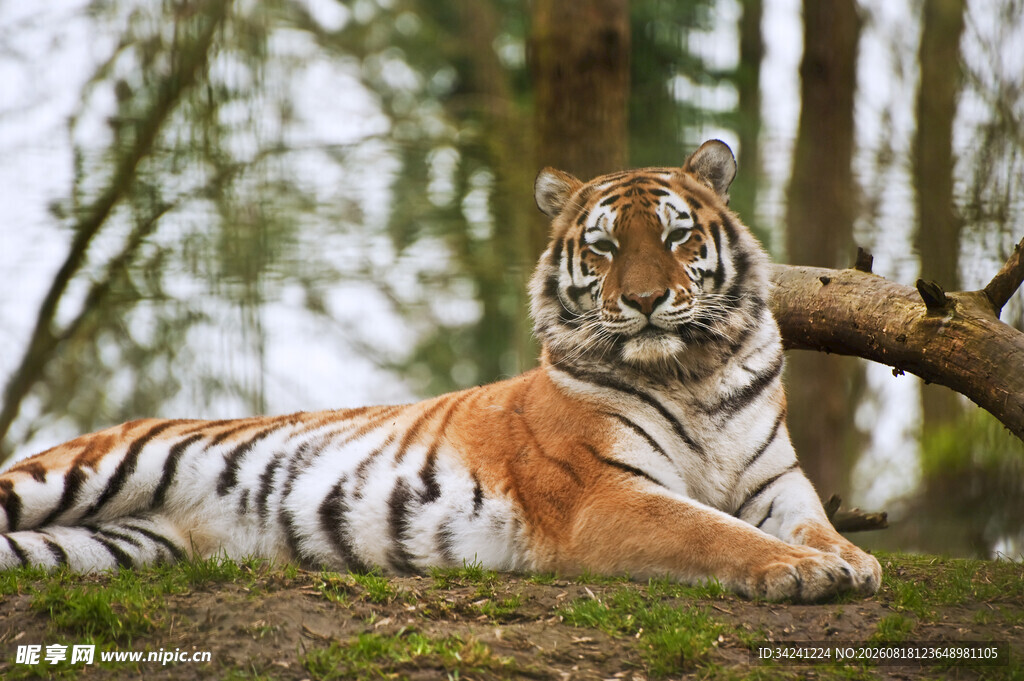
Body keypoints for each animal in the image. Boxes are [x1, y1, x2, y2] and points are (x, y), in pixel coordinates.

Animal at [0, 140, 880, 602]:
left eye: (675, 236)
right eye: (602, 246)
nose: (643, 300)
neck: (690, 373)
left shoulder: (776, 481)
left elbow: (810, 519)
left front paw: (852, 558)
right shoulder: (608, 493)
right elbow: (709, 528)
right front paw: (803, 570)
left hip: (111, 544)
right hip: (80, 471)